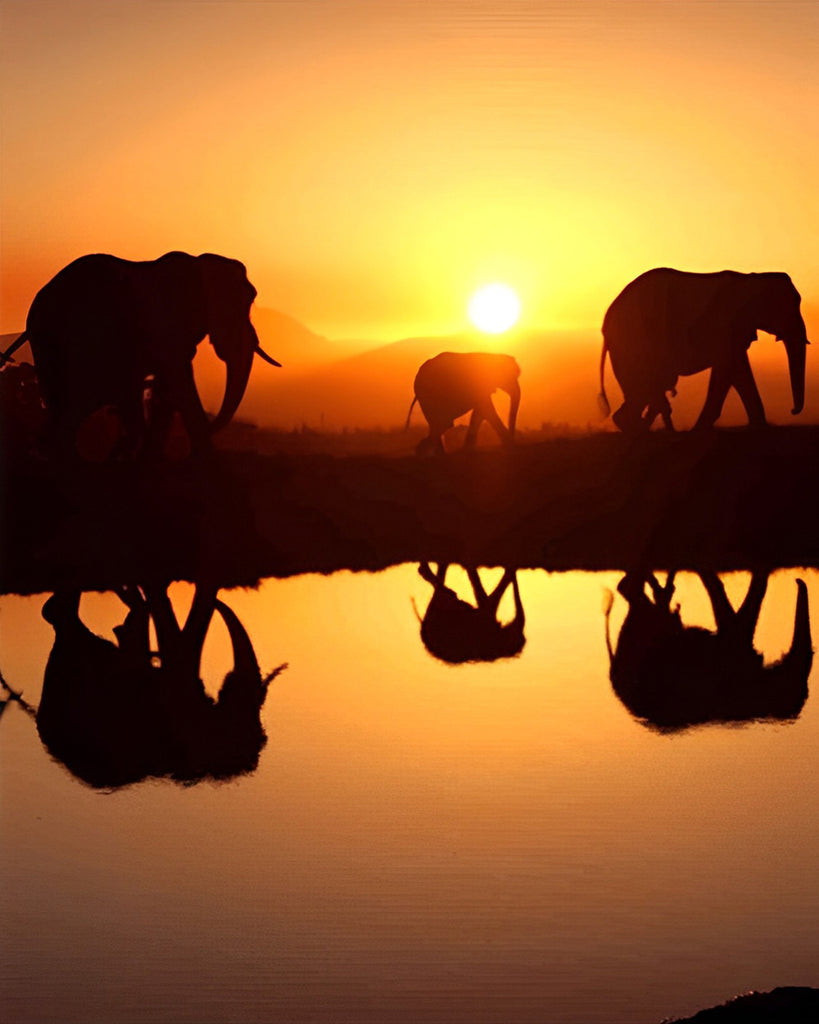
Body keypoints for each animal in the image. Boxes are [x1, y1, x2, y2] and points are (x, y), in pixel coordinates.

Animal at [12, 249, 278, 458]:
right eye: (245, 303)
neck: (198, 263)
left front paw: (151, 457)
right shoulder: (166, 323)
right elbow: (178, 376)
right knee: (80, 398)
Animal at [597, 268, 810, 432]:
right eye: (787, 308)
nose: (792, 411)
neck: (752, 278)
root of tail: (605, 325)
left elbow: (737, 371)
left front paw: (759, 427)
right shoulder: (726, 327)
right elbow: (727, 370)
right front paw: (698, 430)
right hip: (633, 344)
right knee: (643, 388)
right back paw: (638, 428)